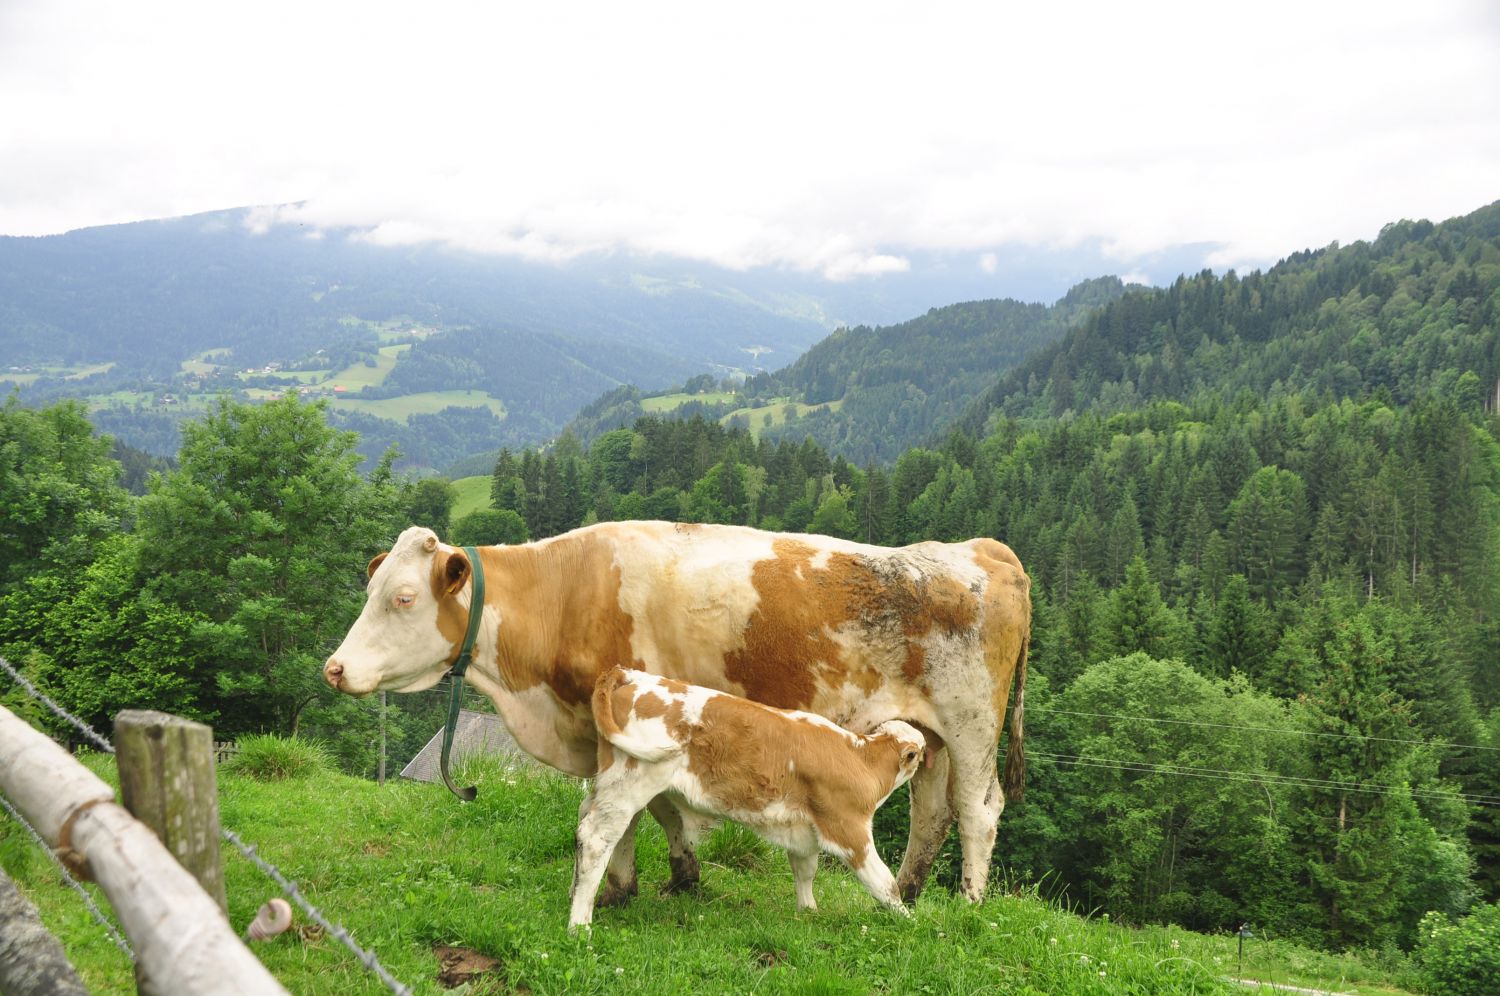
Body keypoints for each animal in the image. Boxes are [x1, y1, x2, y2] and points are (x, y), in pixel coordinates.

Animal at [325, 522, 1032, 900]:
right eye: (371, 586)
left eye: (404, 597)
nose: (334, 668)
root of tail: (983, 549)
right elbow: (640, 807)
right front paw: (653, 877)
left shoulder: (628, 718)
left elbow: (640, 807)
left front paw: (636, 883)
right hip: (931, 734)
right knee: (932, 812)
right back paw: (908, 890)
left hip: (971, 725)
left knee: (977, 811)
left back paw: (969, 902)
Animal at [573, 666, 924, 930]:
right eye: (919, 753)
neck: (863, 758)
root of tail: (633, 675)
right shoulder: (848, 829)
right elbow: (884, 883)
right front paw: (909, 922)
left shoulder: (804, 831)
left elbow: (805, 870)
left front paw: (809, 911)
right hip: (631, 783)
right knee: (597, 840)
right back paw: (579, 925)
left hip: (609, 784)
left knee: (583, 825)